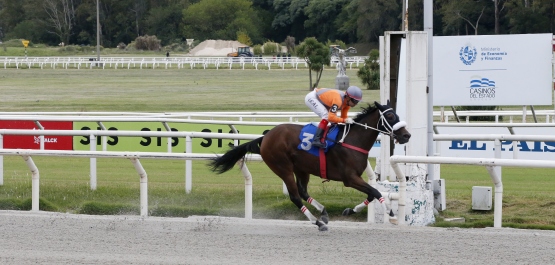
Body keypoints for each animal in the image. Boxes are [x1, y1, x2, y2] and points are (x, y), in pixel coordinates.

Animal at [211, 100, 410, 229]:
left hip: (301, 169)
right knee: (295, 196)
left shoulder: (356, 178)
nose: (406, 135)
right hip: (283, 168)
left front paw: (349, 210)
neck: (351, 140)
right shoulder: (350, 178)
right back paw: (317, 221)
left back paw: (323, 212)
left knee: (303, 192)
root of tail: (265, 137)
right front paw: (392, 215)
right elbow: (376, 192)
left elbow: (372, 194)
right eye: (390, 115)